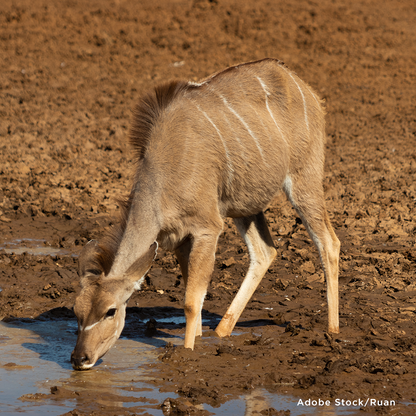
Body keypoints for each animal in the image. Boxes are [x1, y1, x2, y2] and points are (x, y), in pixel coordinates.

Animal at [71, 57, 340, 370]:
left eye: (110, 311)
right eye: (76, 311)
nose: (79, 358)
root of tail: (307, 90)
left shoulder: (207, 228)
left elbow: (191, 301)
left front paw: (187, 353)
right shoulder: (177, 238)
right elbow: (192, 291)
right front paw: (199, 339)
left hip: (303, 181)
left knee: (328, 242)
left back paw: (333, 329)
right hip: (244, 205)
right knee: (265, 252)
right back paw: (223, 330)